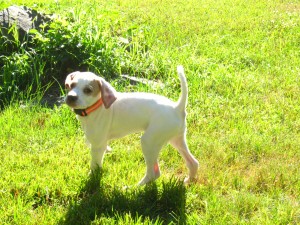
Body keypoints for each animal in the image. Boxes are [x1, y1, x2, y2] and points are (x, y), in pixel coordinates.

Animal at [64, 66, 198, 185]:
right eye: (71, 85)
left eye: (88, 90)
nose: (71, 97)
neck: (97, 106)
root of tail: (177, 107)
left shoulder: (97, 146)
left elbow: (94, 165)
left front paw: (91, 178)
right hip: (176, 140)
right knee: (193, 163)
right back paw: (188, 181)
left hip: (149, 142)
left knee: (153, 173)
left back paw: (133, 188)